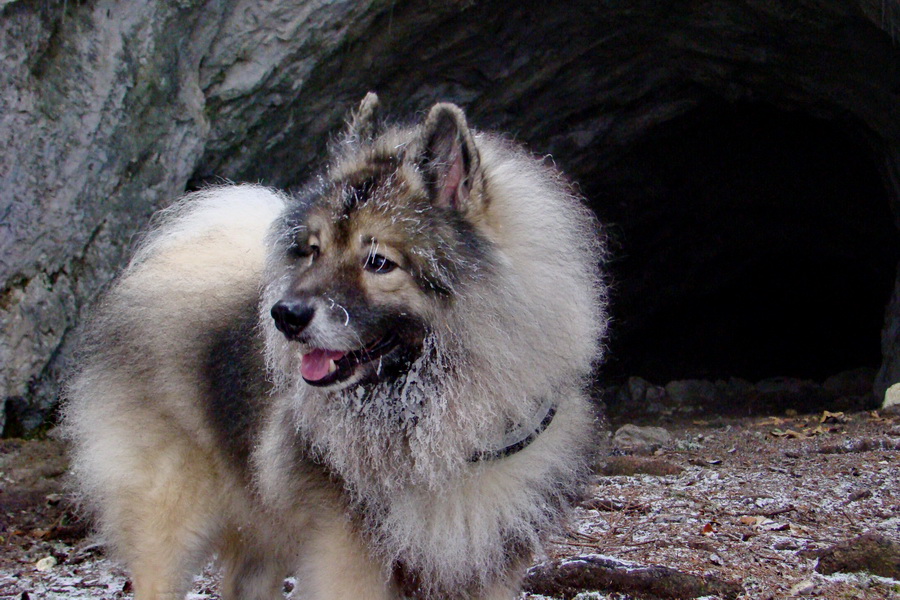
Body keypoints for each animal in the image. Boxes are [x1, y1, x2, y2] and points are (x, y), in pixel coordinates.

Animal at [63, 95, 608, 600]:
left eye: (378, 261)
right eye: (313, 251)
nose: (283, 315)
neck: (442, 433)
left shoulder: (487, 564)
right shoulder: (350, 556)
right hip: (170, 520)